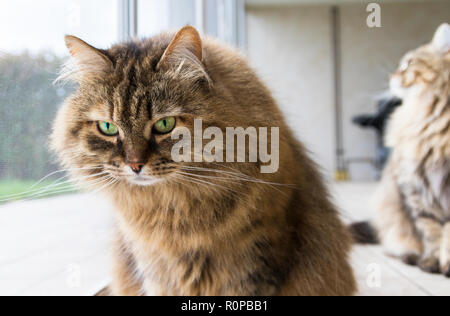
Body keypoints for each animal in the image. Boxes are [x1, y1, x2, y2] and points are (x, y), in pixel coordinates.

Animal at [51, 25, 356, 296]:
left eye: (164, 124)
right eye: (108, 127)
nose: (135, 165)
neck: (172, 211)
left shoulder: (256, 264)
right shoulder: (155, 269)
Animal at [352, 23, 450, 276]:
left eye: (408, 63)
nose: (391, 75)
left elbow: (446, 231)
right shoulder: (414, 185)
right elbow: (431, 231)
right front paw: (433, 261)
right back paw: (412, 257)